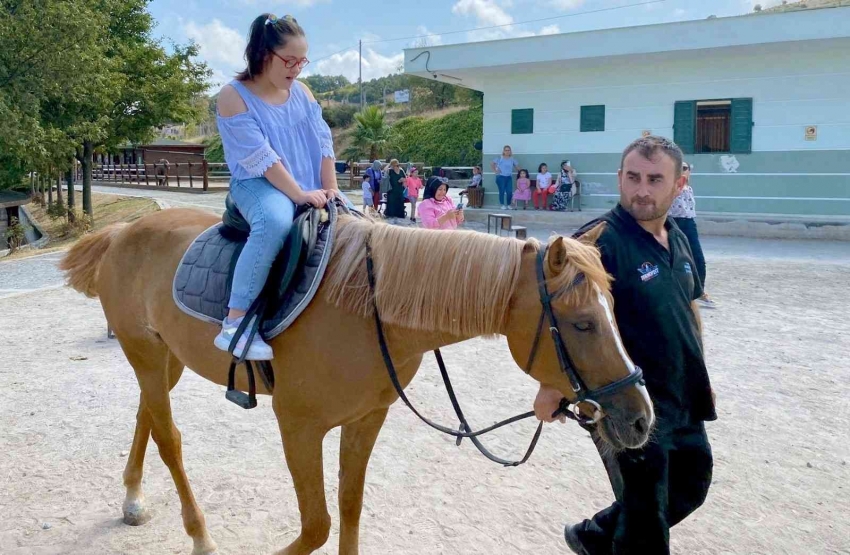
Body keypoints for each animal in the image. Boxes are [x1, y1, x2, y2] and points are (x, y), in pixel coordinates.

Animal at [59, 210, 652, 555]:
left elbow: (347, 510)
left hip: (166, 358)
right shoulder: (298, 427)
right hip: (144, 352)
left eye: (614, 310)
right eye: (582, 323)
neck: (369, 309)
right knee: (170, 437)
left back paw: (133, 499)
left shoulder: (367, 419)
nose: (642, 417)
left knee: (148, 415)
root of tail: (123, 231)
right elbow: (316, 526)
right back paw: (200, 536)